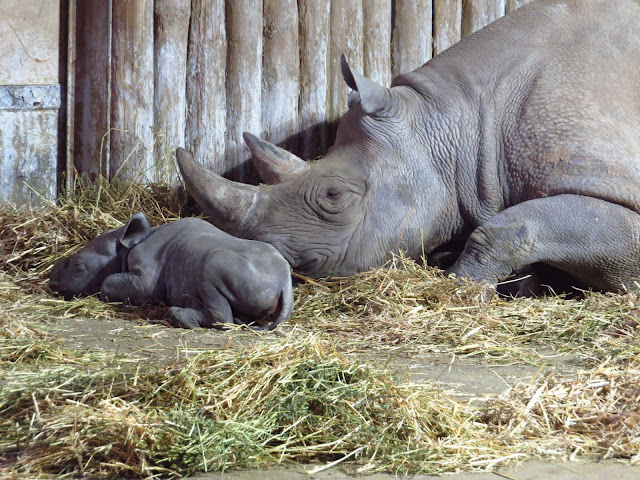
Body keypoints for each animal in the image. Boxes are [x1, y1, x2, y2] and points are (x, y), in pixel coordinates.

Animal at [50, 214, 296, 330]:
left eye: (78, 268)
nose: (52, 283)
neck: (124, 248)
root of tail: (284, 283)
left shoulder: (145, 279)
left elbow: (109, 283)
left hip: (239, 270)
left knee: (211, 266)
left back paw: (176, 315)